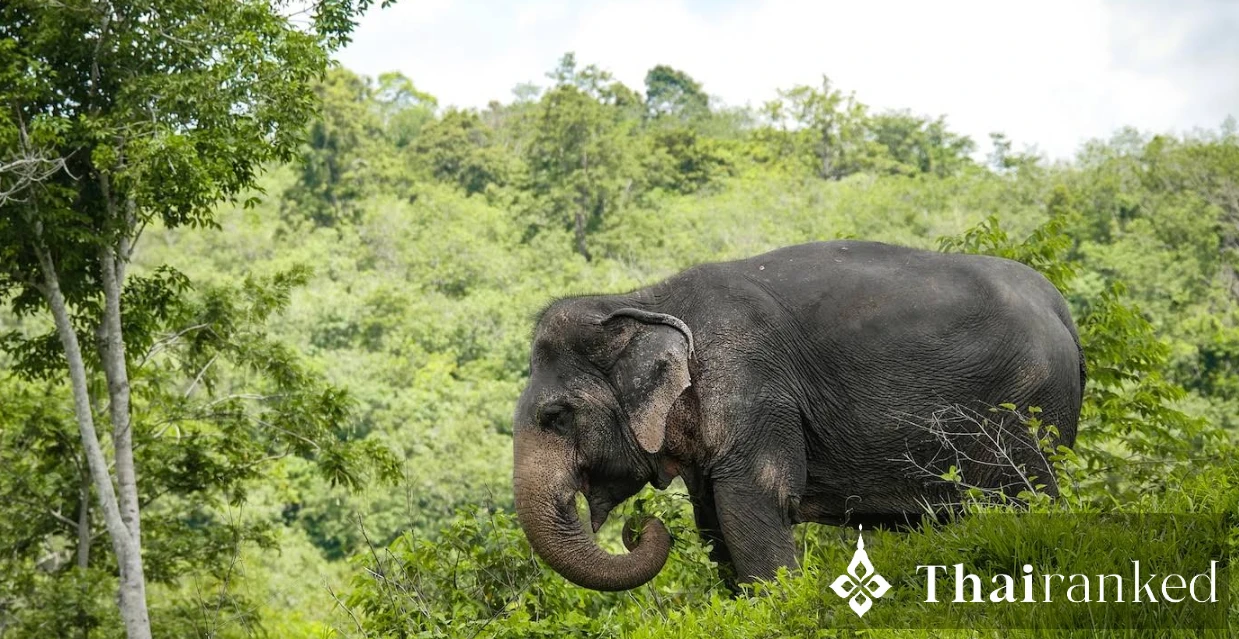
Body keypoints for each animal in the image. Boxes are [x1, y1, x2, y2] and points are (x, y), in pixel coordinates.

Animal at [511, 240, 1084, 592]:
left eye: (556, 416)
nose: (637, 528)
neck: (644, 299)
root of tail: (1061, 308)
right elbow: (711, 519)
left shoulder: (753, 387)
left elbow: (752, 504)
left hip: (1025, 407)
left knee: (1025, 498)